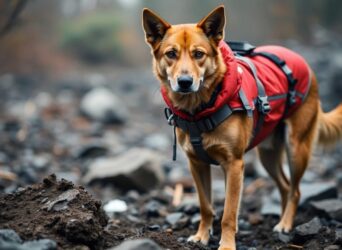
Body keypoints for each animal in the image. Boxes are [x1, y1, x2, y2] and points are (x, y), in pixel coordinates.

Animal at [142, 4, 342, 250]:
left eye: (199, 54)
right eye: (171, 54)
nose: (185, 82)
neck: (200, 109)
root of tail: (302, 62)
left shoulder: (234, 165)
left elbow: (229, 213)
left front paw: (227, 244)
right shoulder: (197, 164)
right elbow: (206, 206)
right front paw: (202, 236)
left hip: (296, 149)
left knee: (295, 190)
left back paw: (286, 224)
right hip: (268, 155)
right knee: (285, 187)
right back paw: (282, 221)